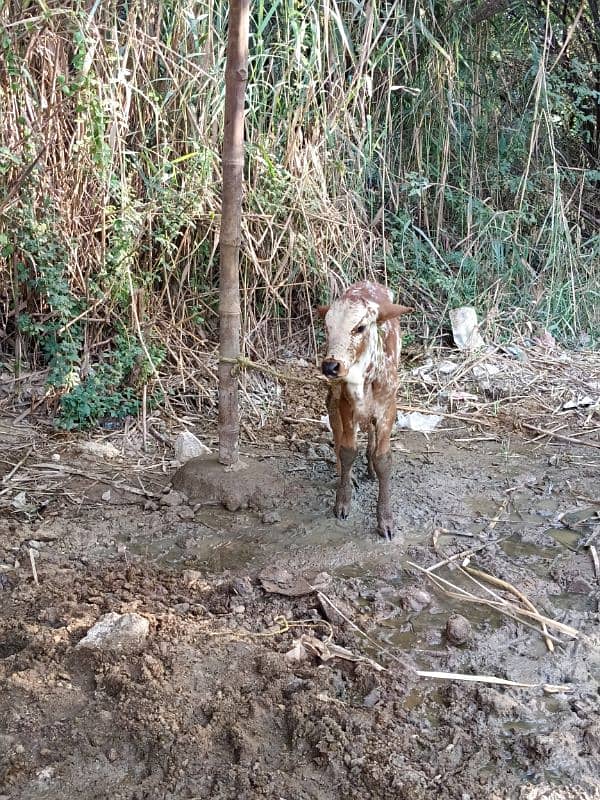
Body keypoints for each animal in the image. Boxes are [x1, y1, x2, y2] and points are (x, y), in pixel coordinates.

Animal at [318, 280, 412, 536]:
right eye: (327, 328)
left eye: (359, 328)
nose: (330, 366)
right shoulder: (345, 405)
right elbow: (347, 451)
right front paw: (343, 500)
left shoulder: (388, 408)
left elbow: (383, 459)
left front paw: (385, 520)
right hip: (334, 398)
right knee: (336, 426)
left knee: (370, 430)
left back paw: (369, 465)